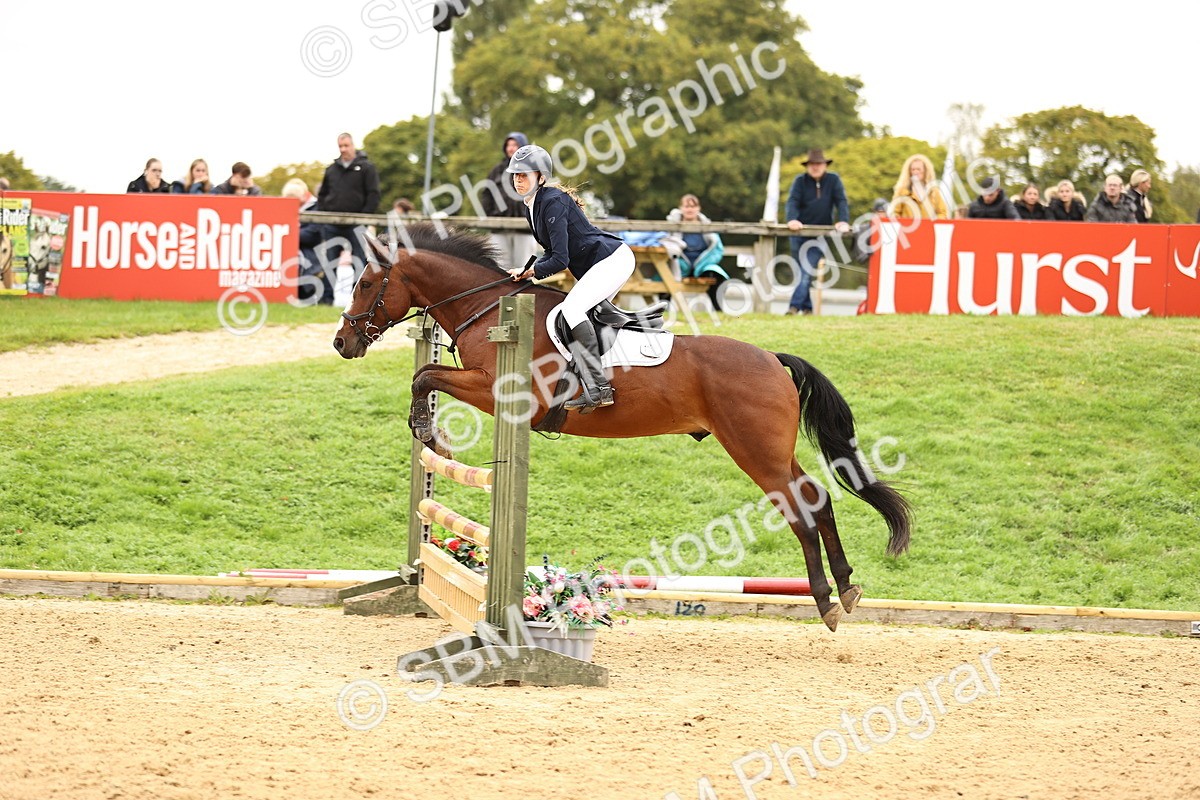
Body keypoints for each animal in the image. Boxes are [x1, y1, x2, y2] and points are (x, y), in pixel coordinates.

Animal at [333, 223, 911, 631]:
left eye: (365, 283)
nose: (342, 342)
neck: (487, 308)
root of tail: (772, 358)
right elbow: (425, 375)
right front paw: (430, 433)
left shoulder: (503, 394)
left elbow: (426, 375)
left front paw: (431, 435)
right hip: (770, 449)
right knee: (817, 498)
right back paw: (845, 591)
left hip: (755, 452)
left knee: (800, 509)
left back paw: (826, 600)